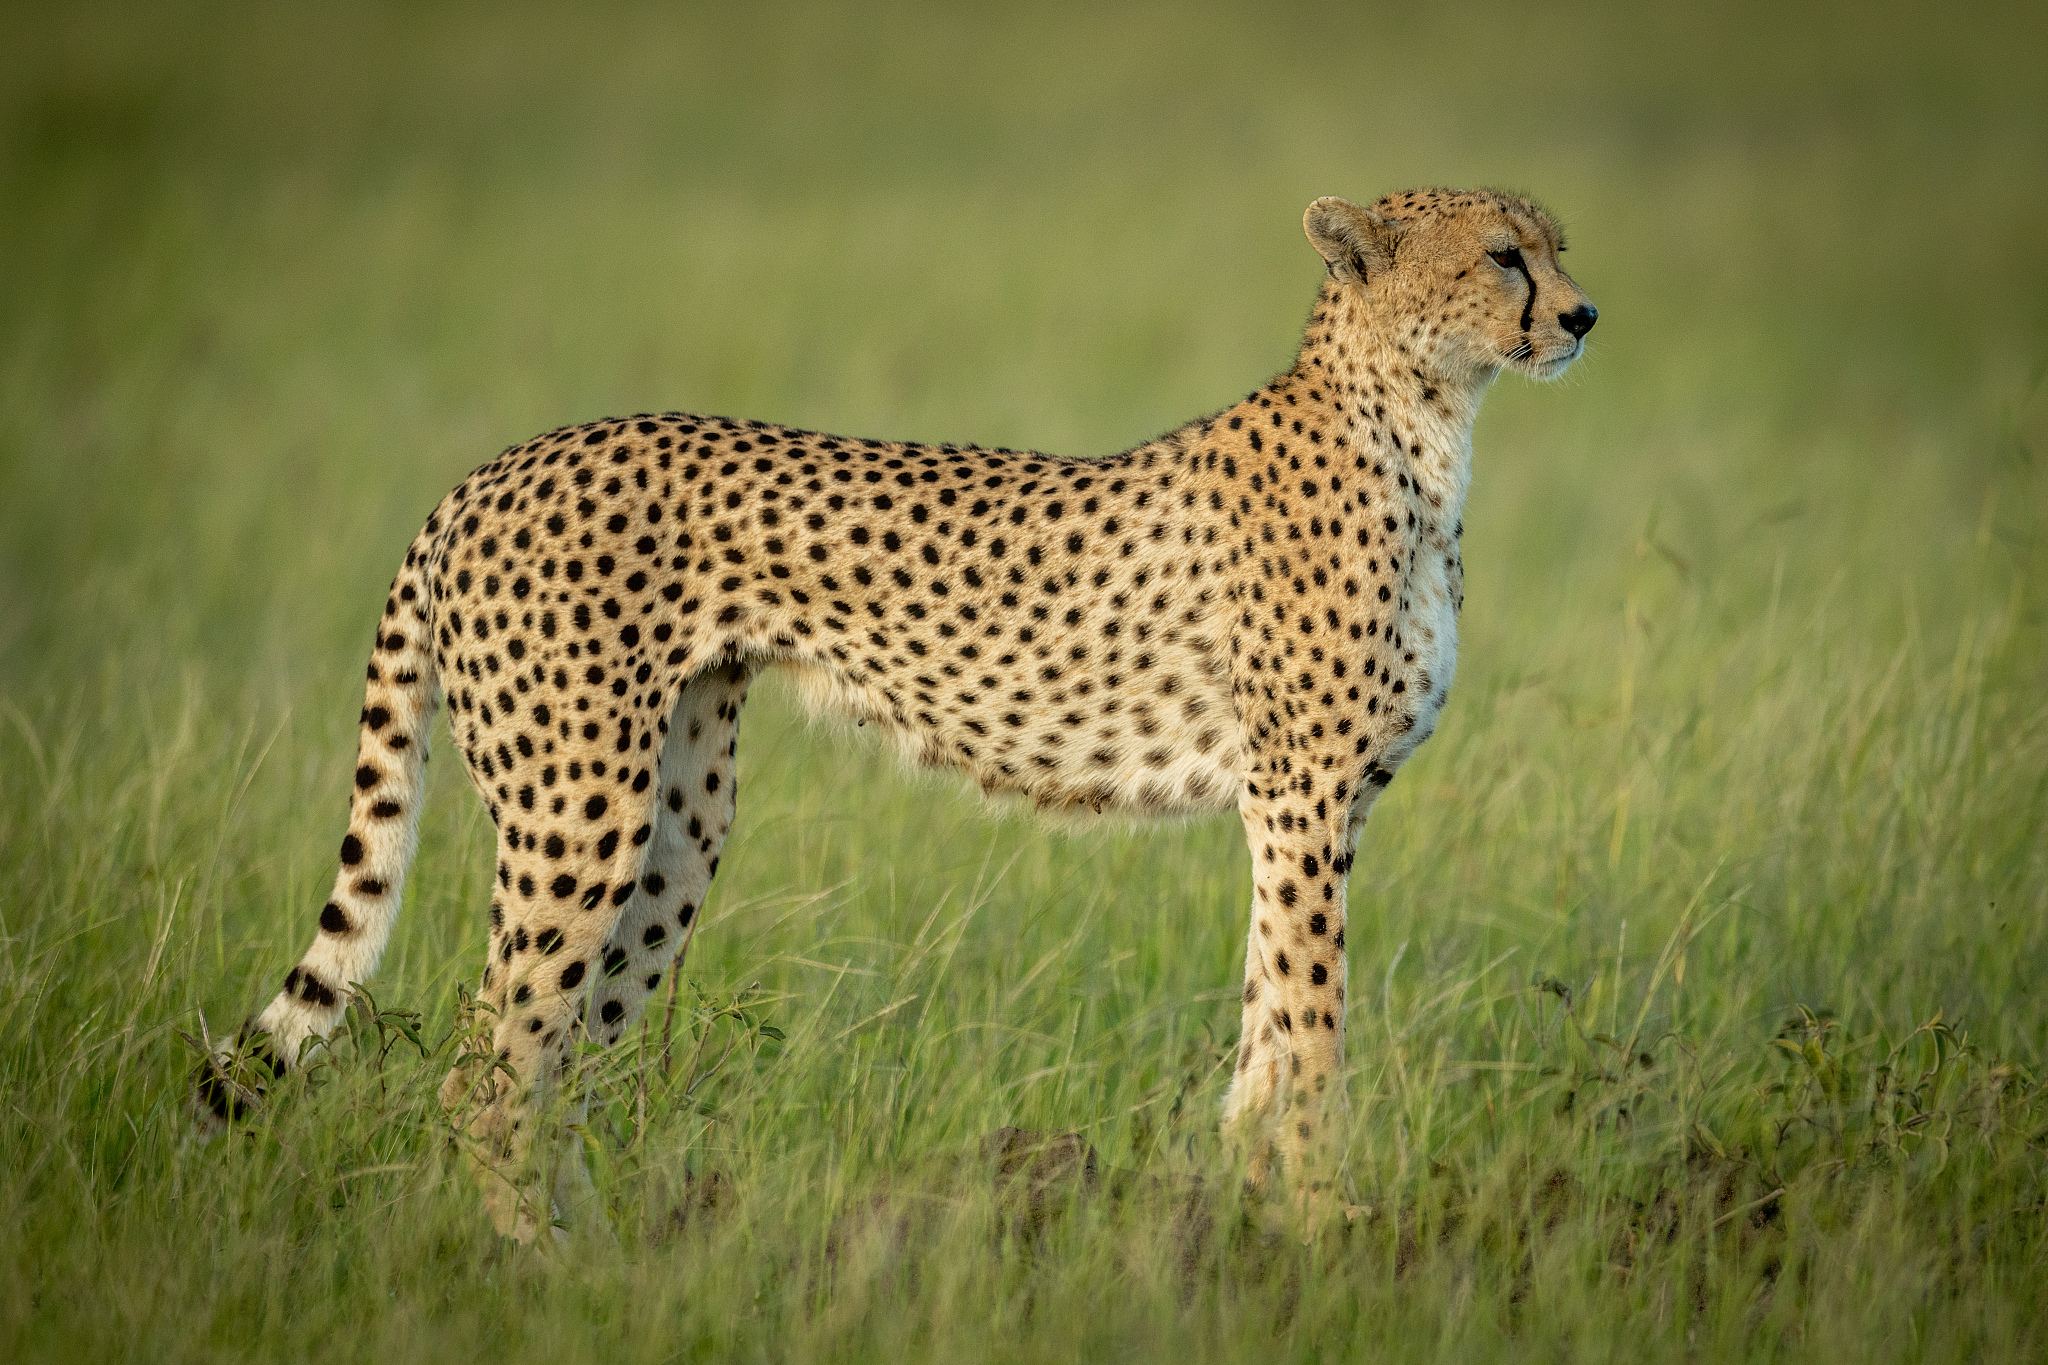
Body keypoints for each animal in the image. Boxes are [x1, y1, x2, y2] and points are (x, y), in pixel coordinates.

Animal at [199, 187, 1596, 1240]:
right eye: (1501, 255)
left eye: (1555, 243)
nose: (1584, 313)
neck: (1418, 419)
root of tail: (493, 468)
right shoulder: (1301, 798)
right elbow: (1310, 1031)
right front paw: (1319, 1229)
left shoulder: (1300, 809)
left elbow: (1267, 1027)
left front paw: (1250, 1224)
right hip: (578, 813)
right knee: (485, 1078)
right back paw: (541, 1271)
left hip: (674, 827)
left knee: (558, 1067)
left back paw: (607, 1263)